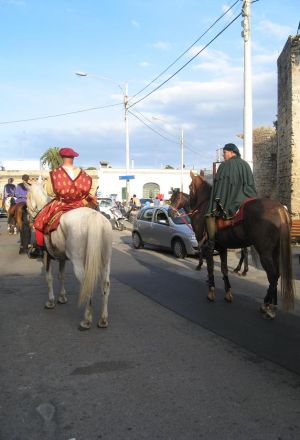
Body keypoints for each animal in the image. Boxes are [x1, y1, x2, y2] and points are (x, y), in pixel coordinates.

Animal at [25, 181, 112, 330]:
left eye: (26, 198)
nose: (28, 217)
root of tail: (94, 217)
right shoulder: (62, 258)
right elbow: (61, 276)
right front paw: (62, 297)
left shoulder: (47, 255)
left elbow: (49, 278)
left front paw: (51, 301)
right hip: (106, 261)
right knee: (105, 285)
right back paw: (103, 319)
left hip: (78, 262)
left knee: (86, 285)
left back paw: (86, 320)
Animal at [189, 172, 294, 320]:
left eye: (189, 186)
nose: (191, 205)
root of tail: (280, 208)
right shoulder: (222, 248)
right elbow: (224, 270)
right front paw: (228, 293)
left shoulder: (208, 248)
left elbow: (210, 268)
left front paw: (211, 291)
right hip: (275, 252)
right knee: (276, 275)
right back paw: (270, 304)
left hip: (265, 253)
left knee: (272, 276)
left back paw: (268, 307)